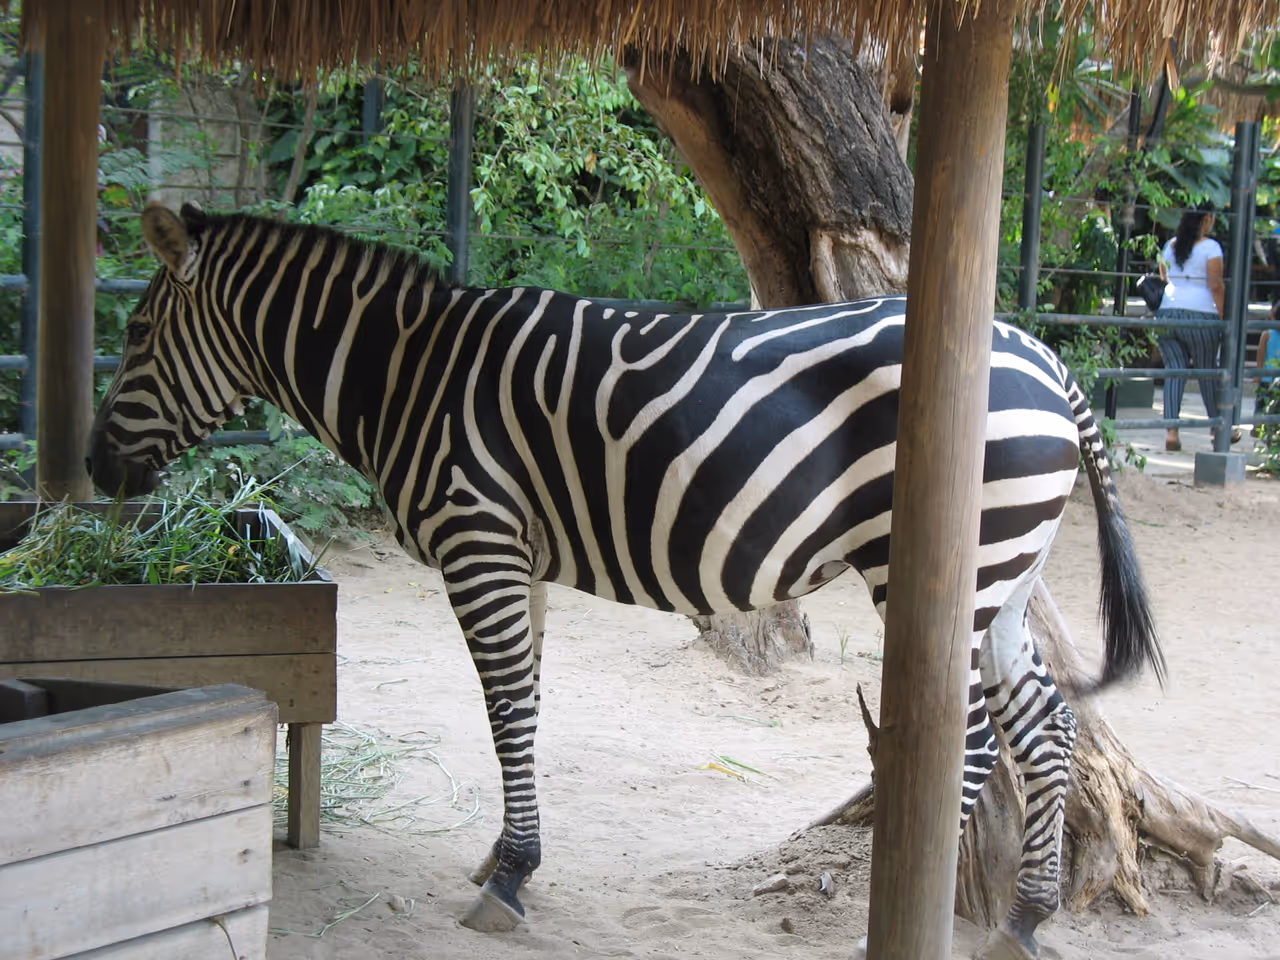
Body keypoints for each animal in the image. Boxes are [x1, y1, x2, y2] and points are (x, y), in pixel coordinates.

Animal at [87, 203, 1164, 954]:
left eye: (134, 337)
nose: (95, 472)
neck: (407, 377)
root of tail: (1043, 354)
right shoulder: (514, 554)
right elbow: (521, 703)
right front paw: (506, 857)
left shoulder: (477, 537)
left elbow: (504, 708)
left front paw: (510, 878)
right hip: (1001, 576)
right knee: (1045, 723)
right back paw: (1023, 920)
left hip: (947, 563)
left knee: (974, 735)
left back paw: (897, 906)